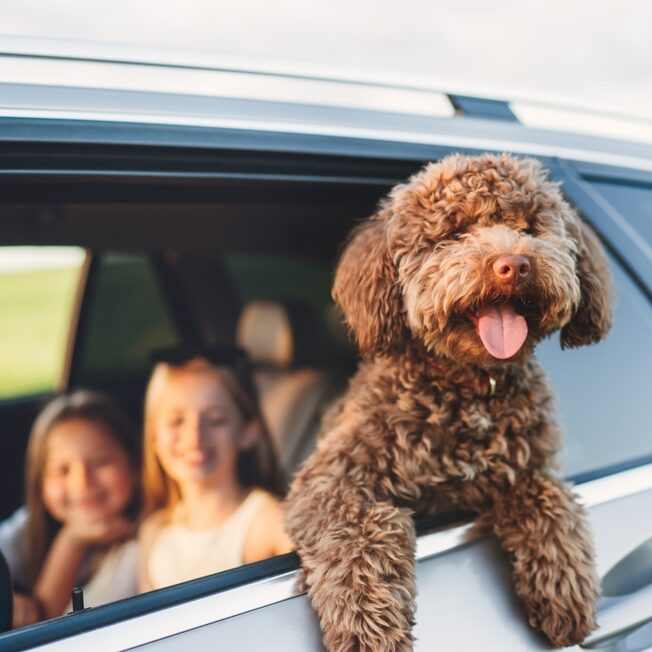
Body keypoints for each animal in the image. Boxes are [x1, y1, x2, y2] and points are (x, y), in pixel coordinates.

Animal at [284, 154, 612, 652]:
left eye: (529, 227)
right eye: (455, 231)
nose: (514, 264)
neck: (470, 388)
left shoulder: (529, 464)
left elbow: (547, 494)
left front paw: (564, 587)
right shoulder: (330, 480)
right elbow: (358, 525)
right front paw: (368, 624)